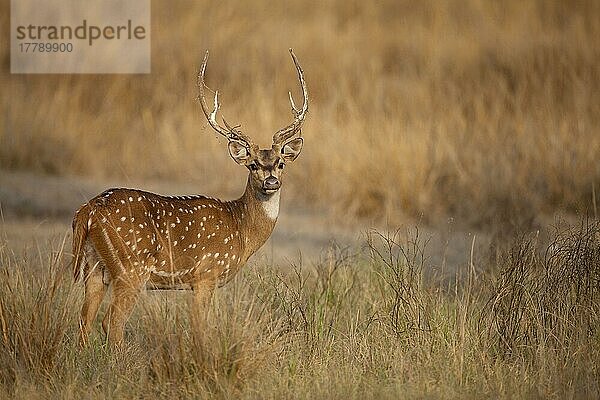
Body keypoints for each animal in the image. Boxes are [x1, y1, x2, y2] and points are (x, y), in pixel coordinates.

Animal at [74, 49, 310, 344]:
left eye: (280, 163)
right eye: (253, 164)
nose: (271, 181)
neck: (241, 229)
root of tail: (89, 211)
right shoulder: (206, 274)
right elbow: (199, 327)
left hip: (94, 266)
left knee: (84, 320)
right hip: (131, 267)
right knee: (111, 321)